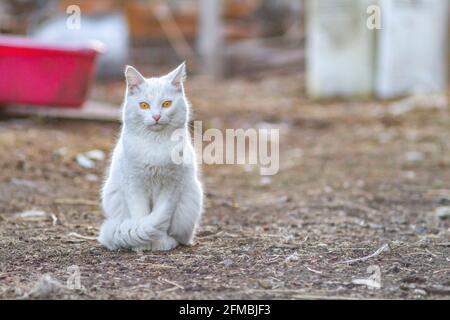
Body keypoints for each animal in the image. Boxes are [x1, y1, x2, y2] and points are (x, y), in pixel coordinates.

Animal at [100, 62, 204, 251]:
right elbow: (141, 216)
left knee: (181, 236)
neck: (155, 144)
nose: (156, 116)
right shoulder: (134, 184)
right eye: (144, 105)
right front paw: (141, 243)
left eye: (167, 103)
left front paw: (159, 243)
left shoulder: (171, 186)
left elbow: (161, 217)